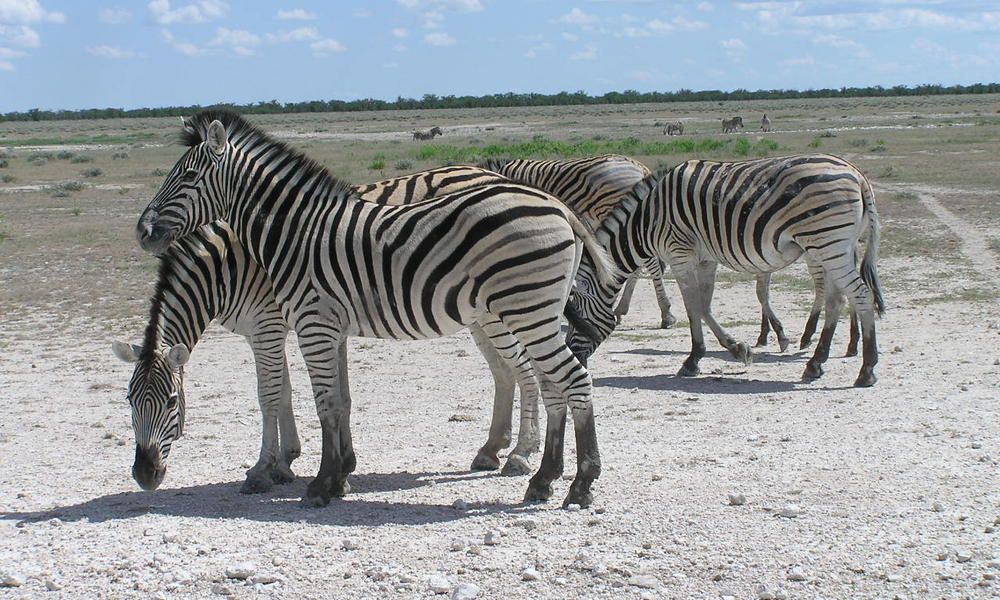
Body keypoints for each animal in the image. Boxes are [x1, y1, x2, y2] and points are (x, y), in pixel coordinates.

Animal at [133, 111, 616, 506]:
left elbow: (316, 401)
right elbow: (336, 399)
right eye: (128, 403)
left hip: (526, 310)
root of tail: (557, 205)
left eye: (188, 176)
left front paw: (315, 483)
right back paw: (540, 477)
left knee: (570, 380)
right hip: (529, 313)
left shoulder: (305, 324)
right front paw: (337, 473)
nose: (143, 476)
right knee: (545, 382)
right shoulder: (327, 327)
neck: (289, 234)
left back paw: (577, 482)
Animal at [568, 155, 888, 390]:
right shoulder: (705, 258)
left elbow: (693, 307)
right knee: (837, 299)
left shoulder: (679, 253)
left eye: (574, 315)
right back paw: (816, 363)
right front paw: (736, 349)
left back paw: (866, 369)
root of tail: (856, 173)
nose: (577, 359)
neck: (646, 220)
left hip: (827, 242)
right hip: (833, 246)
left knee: (860, 294)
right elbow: (704, 306)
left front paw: (693, 360)